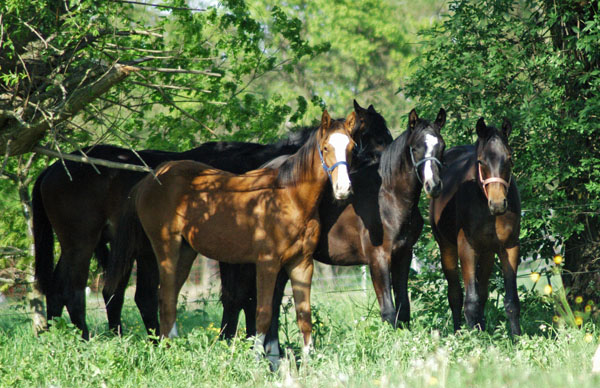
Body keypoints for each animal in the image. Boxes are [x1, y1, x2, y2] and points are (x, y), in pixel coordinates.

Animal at [105, 110, 356, 352]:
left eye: (351, 147)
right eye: (326, 147)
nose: (343, 189)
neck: (290, 197)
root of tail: (150, 178)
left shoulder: (302, 263)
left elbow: (304, 316)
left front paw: (307, 359)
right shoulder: (267, 263)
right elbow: (263, 314)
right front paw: (257, 357)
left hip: (186, 252)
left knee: (169, 297)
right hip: (166, 247)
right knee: (164, 297)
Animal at [218, 107, 448, 364]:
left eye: (441, 146)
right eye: (416, 147)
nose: (433, 185)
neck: (389, 196)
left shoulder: (403, 256)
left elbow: (403, 309)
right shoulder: (378, 259)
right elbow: (388, 311)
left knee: (270, 302)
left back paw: (273, 356)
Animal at [428, 116, 524, 334]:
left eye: (509, 158)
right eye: (481, 161)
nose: (497, 204)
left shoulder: (509, 247)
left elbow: (511, 301)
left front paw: (517, 337)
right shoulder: (467, 247)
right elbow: (470, 301)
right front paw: (473, 339)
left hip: (487, 252)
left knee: (482, 293)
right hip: (447, 248)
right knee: (455, 294)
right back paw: (459, 332)